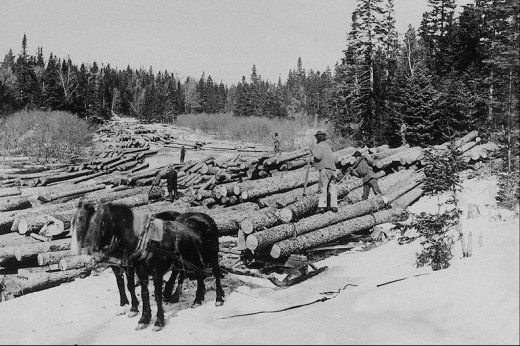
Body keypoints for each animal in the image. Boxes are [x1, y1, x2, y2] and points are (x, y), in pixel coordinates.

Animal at [70, 201, 224, 332]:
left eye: (100, 222)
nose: (92, 251)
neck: (142, 241)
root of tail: (203, 216)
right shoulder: (138, 271)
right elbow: (141, 293)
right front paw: (143, 318)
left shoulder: (154, 272)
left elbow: (154, 294)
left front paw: (158, 321)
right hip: (189, 259)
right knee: (196, 274)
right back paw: (195, 299)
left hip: (212, 254)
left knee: (215, 272)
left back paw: (218, 298)